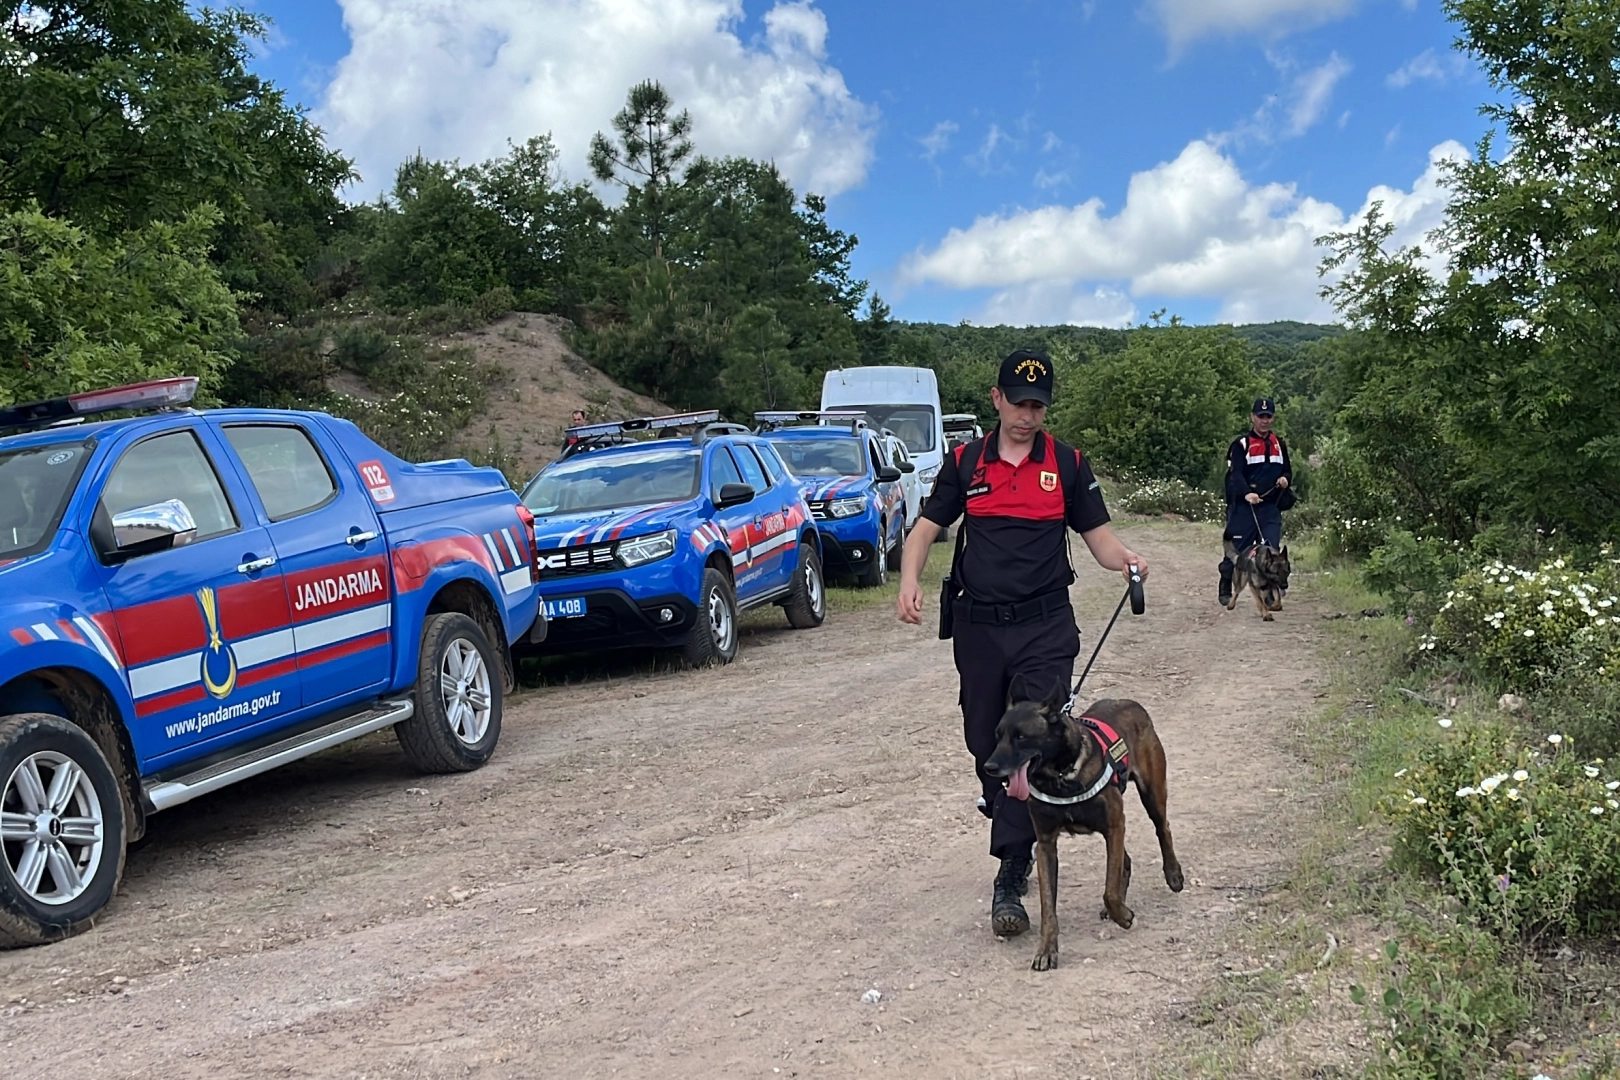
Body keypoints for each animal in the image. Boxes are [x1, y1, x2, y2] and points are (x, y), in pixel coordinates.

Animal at [978, 676, 1185, 971]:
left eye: (1021, 736)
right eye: (998, 736)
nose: (990, 767)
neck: (1060, 776)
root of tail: (1130, 703)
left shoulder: (1114, 825)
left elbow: (1109, 890)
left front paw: (1123, 915)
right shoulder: (1046, 844)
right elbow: (1048, 907)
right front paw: (1046, 950)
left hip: (1152, 794)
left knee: (1162, 827)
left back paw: (1173, 874)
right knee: (1125, 860)